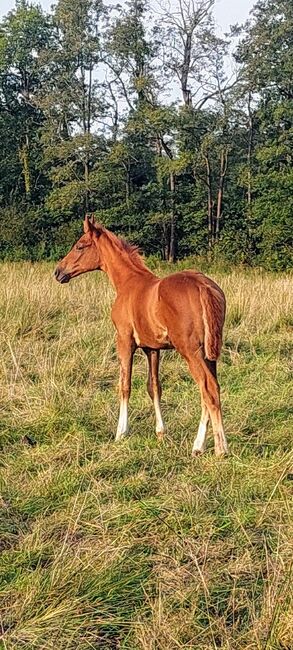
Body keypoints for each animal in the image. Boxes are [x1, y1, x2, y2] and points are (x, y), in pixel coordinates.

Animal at [55, 215, 228, 454]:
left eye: (80, 245)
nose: (58, 272)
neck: (127, 282)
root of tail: (203, 286)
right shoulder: (152, 348)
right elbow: (154, 387)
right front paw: (160, 433)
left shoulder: (124, 340)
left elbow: (124, 385)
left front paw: (121, 432)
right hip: (209, 352)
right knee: (212, 389)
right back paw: (198, 446)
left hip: (190, 350)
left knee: (207, 389)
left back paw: (220, 448)